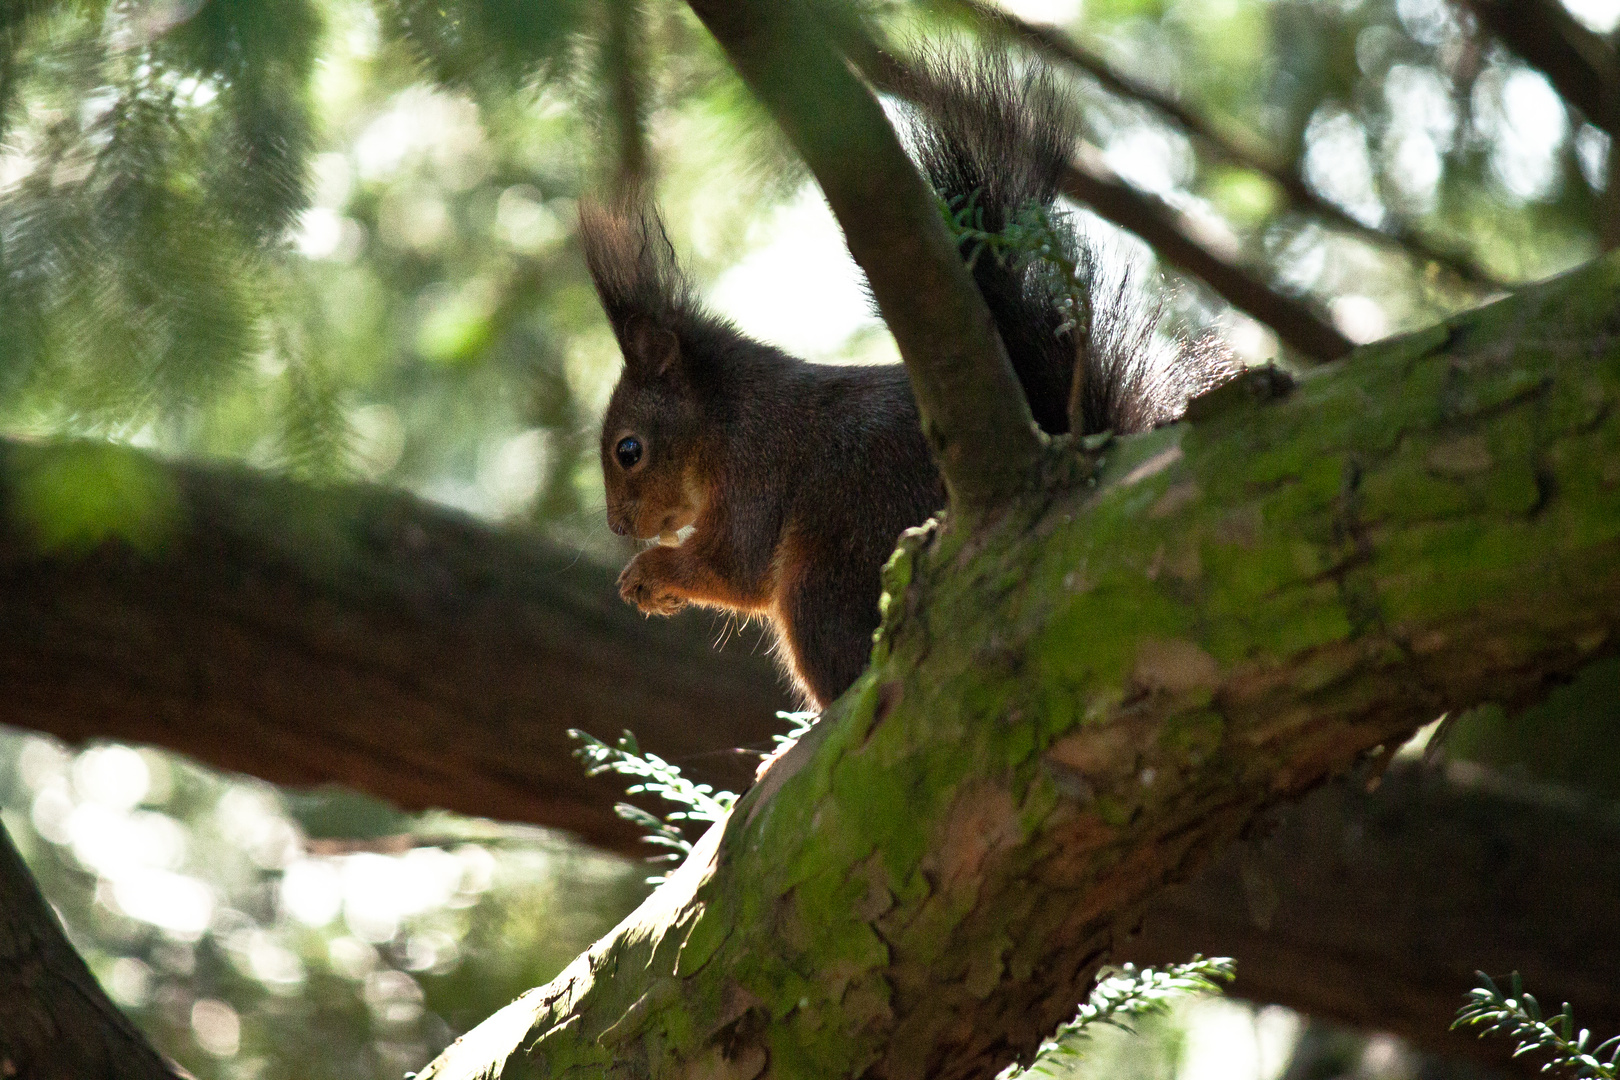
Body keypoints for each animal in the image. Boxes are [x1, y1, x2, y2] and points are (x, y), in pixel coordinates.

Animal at [579, 55, 1224, 709]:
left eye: (628, 450)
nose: (618, 527)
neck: (723, 414)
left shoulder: (754, 467)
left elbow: (736, 564)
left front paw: (649, 573)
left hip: (830, 575)